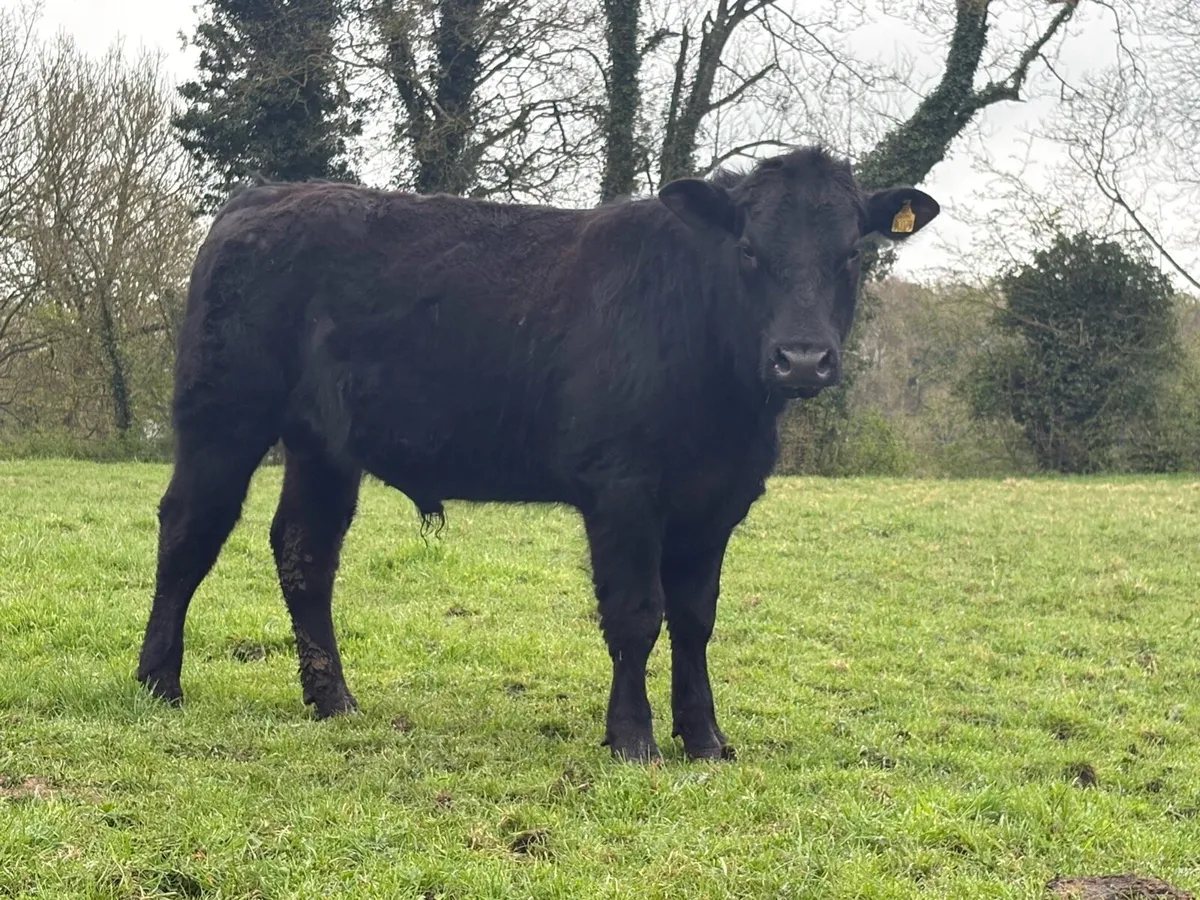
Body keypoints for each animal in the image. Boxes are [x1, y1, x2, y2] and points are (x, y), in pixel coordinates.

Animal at [135, 146, 938, 762]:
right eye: (747, 250)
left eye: (852, 253)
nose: (802, 358)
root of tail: (263, 197)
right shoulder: (622, 487)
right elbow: (636, 613)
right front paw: (633, 740)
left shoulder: (718, 500)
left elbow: (696, 618)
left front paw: (707, 739)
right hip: (222, 414)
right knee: (187, 531)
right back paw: (158, 681)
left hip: (322, 444)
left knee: (304, 552)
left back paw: (333, 699)